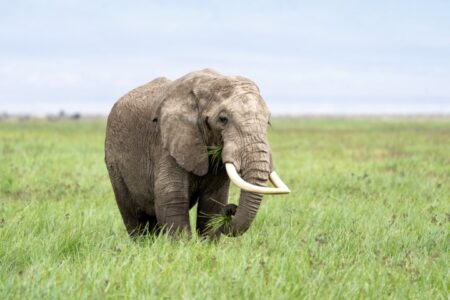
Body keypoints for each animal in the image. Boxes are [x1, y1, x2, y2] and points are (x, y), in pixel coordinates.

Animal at [105, 69, 288, 238]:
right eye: (223, 119)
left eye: (268, 121)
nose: (231, 209)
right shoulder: (167, 142)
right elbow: (172, 196)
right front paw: (181, 246)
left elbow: (214, 201)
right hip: (114, 162)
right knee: (134, 217)